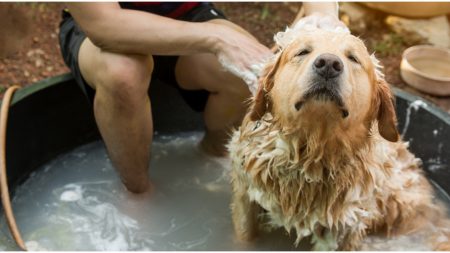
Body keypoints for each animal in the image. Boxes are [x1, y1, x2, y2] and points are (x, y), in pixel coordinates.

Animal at [230, 26, 448, 250]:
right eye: (303, 52)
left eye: (353, 58)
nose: (328, 64)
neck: (310, 151)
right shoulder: (245, 194)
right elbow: (245, 234)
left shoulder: (342, 228)